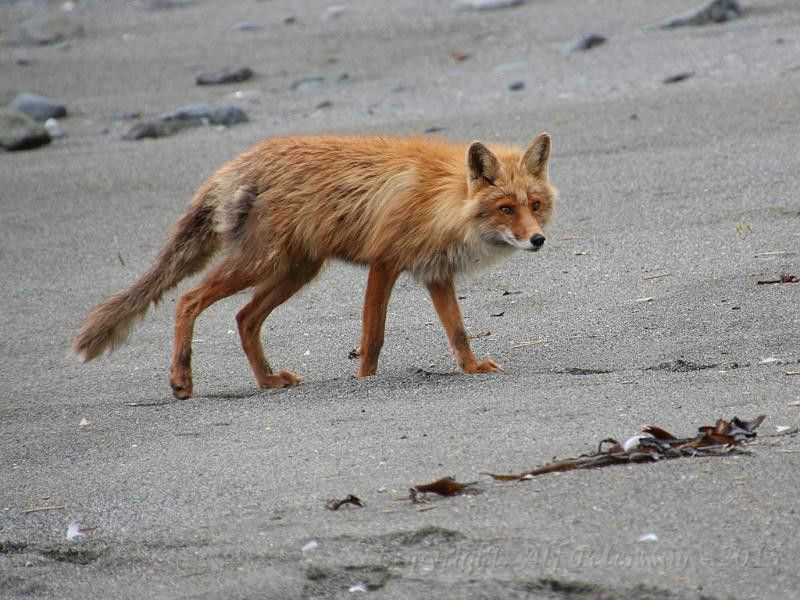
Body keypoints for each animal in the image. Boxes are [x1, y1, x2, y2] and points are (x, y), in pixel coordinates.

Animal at [75, 135, 556, 398]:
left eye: (534, 205)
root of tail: (235, 162)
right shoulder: (384, 262)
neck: (440, 199)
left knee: (244, 318)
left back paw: (268, 381)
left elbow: (458, 332)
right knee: (188, 300)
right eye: (506, 208)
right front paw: (365, 381)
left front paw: (471, 369)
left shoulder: (435, 274)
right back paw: (182, 380)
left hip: (295, 272)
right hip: (260, 264)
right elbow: (373, 339)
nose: (538, 240)